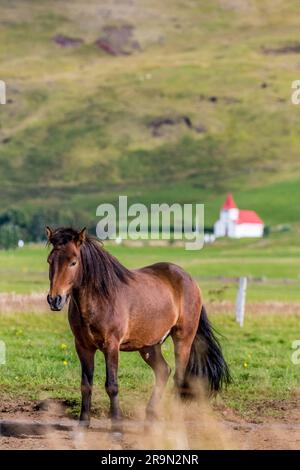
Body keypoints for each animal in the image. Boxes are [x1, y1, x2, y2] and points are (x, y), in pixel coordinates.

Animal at [46, 226, 230, 428]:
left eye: (73, 262)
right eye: (49, 261)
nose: (55, 299)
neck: (99, 298)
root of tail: (189, 279)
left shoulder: (111, 346)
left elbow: (112, 386)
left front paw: (117, 426)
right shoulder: (83, 346)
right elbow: (86, 385)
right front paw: (83, 424)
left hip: (183, 339)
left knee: (178, 377)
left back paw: (173, 417)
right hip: (149, 346)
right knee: (163, 371)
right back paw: (150, 416)